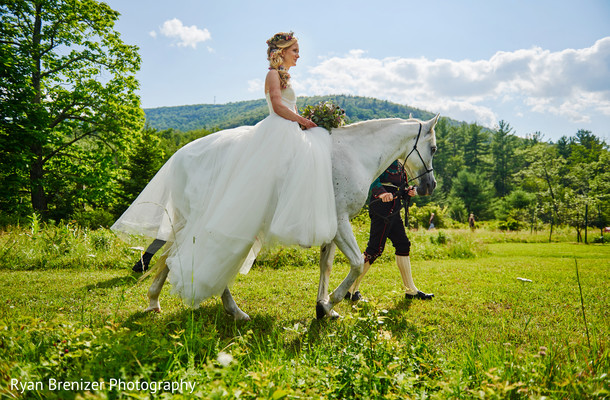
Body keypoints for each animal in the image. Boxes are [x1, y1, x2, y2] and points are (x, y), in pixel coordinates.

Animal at [144, 115, 434, 318]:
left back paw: (156, 300)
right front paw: (333, 300)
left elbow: (326, 265)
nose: (429, 185)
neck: (353, 155)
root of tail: (182, 154)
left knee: (171, 255)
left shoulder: (331, 227)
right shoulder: (340, 222)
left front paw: (323, 307)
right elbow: (356, 264)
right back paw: (229, 307)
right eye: (433, 147)